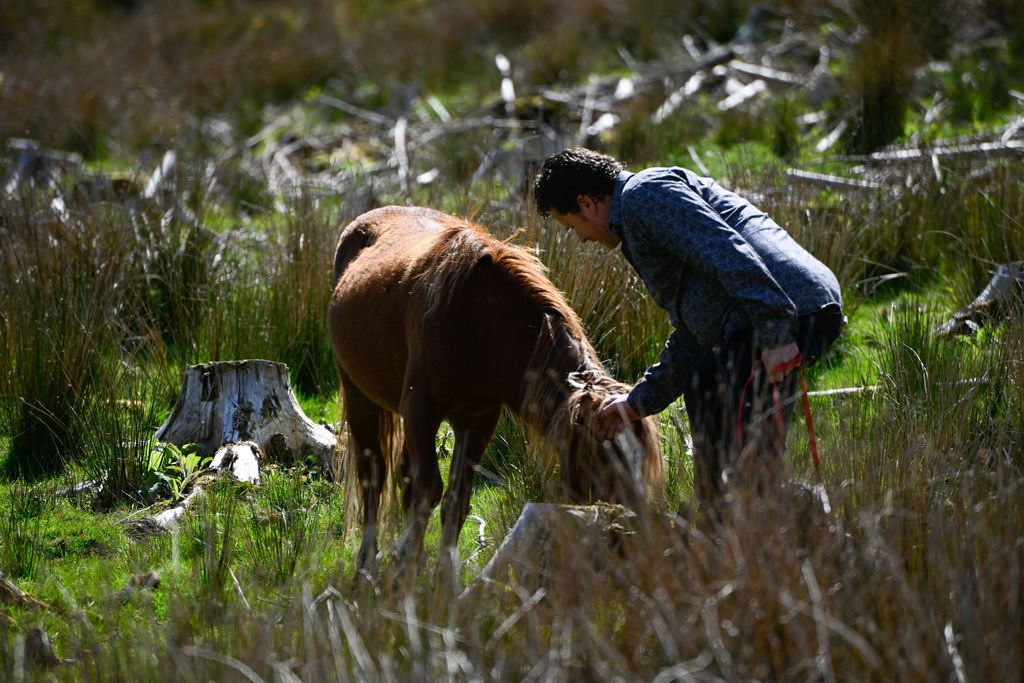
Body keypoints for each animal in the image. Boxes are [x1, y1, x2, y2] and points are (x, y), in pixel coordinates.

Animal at [327, 205, 663, 573]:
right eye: (602, 459)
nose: (635, 538)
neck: (479, 322)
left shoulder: (479, 419)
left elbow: (456, 499)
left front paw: (442, 577)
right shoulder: (421, 408)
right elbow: (428, 489)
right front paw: (406, 568)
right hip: (360, 398)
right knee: (372, 477)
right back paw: (366, 564)